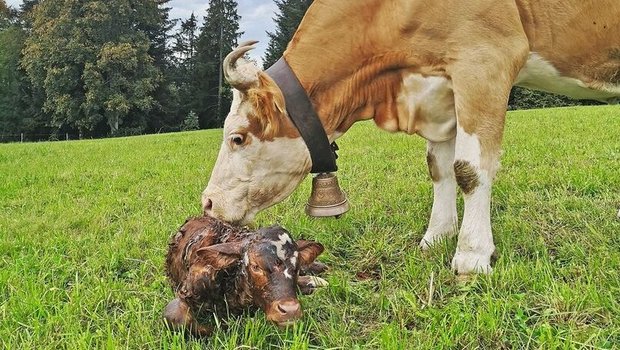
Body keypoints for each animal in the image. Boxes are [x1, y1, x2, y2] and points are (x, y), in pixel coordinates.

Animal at [201, 0, 616, 274]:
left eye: (237, 138)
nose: (207, 203)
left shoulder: (485, 59)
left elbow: (469, 169)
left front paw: (471, 255)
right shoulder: (439, 92)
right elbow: (439, 167)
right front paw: (437, 236)